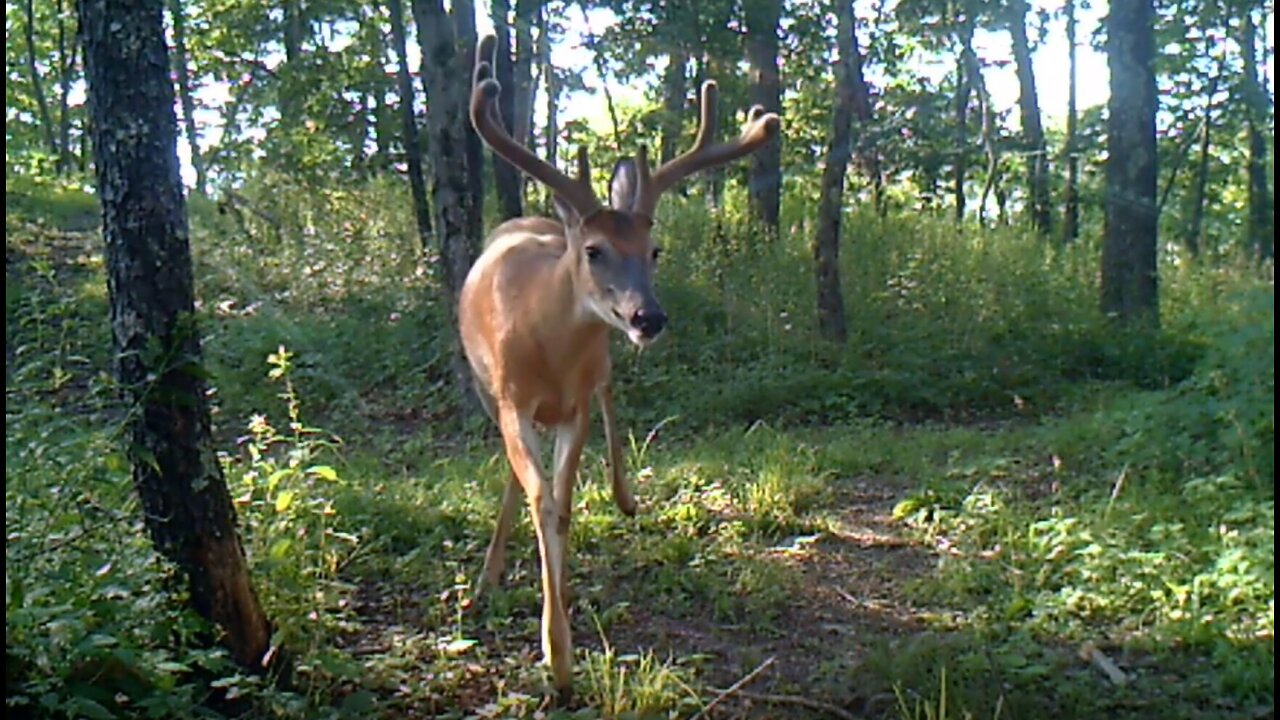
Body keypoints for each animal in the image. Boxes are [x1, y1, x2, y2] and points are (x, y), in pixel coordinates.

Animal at [460, 35, 778, 702]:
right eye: (595, 250)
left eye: (654, 250)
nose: (648, 316)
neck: (549, 350)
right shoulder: (511, 399)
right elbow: (541, 499)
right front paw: (556, 656)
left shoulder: (575, 401)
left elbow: (564, 499)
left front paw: (560, 628)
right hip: (486, 388)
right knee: (511, 474)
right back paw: (490, 575)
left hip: (599, 368)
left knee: (608, 397)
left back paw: (624, 495)